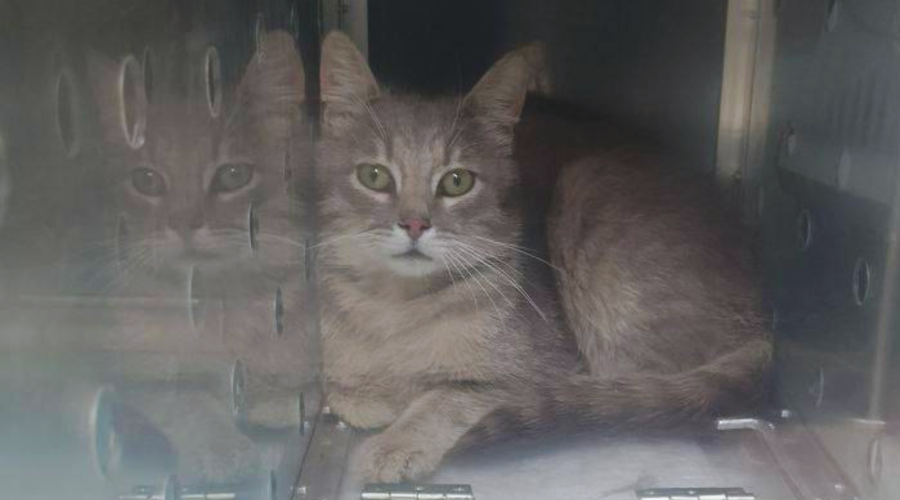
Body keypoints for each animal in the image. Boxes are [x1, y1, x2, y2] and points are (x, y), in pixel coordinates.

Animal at [85, 30, 317, 483]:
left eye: (233, 175)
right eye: (146, 180)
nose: (185, 223)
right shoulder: (129, 370)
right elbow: (185, 399)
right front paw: (219, 446)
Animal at [315, 31, 772, 483]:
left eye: (457, 181)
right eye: (373, 175)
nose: (413, 224)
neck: (398, 306)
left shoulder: (540, 373)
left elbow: (449, 397)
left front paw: (399, 440)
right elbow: (342, 388)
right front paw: (371, 394)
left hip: (584, 188)